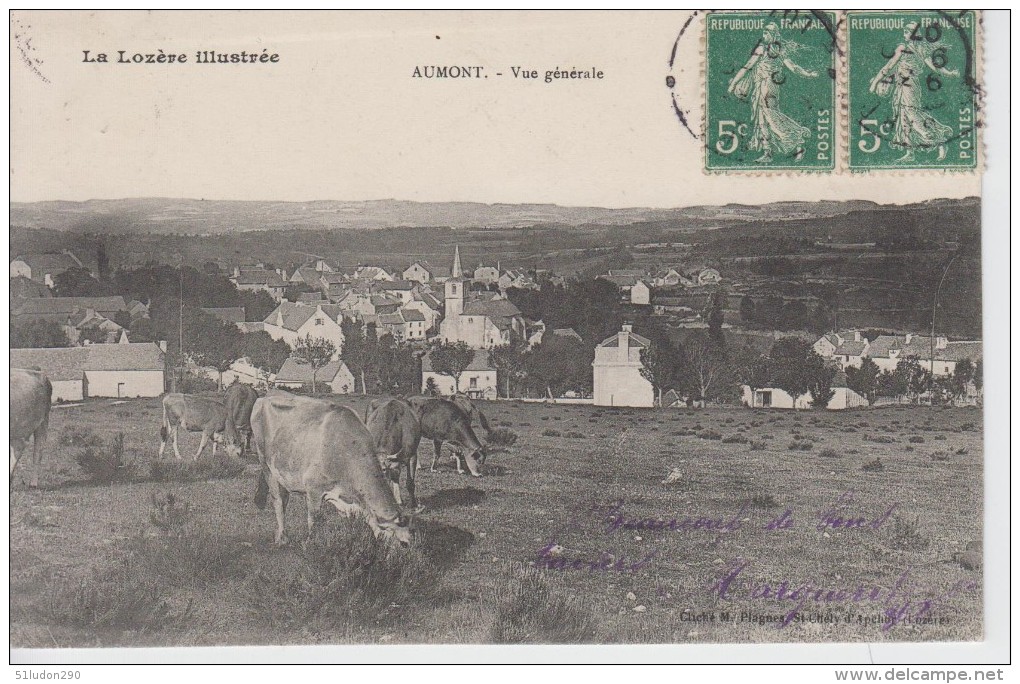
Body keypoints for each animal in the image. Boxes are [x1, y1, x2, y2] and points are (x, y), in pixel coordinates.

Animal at [252, 393, 412, 550]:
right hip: (266, 464)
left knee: (284, 498)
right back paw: (282, 538)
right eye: (403, 543)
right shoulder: (313, 488)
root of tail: (264, 397)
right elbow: (313, 519)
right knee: (278, 501)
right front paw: (310, 544)